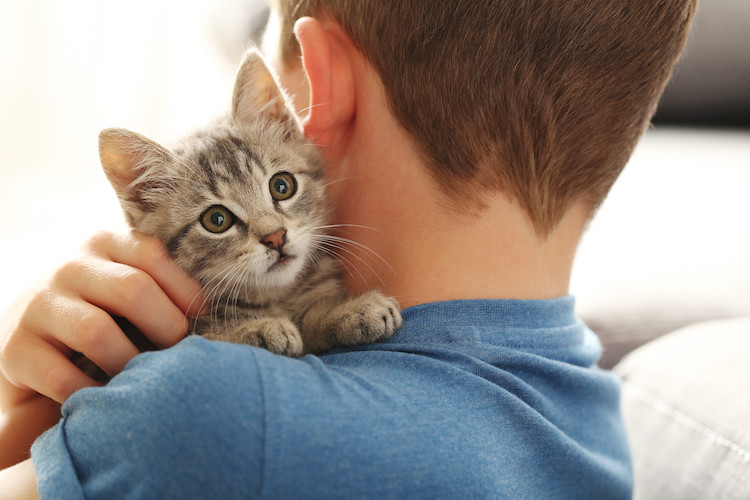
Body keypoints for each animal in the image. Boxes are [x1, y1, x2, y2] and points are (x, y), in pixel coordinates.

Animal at [100, 48, 406, 356]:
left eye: (282, 186)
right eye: (217, 219)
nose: (276, 237)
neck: (277, 296)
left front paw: (350, 312)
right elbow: (207, 336)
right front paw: (256, 329)